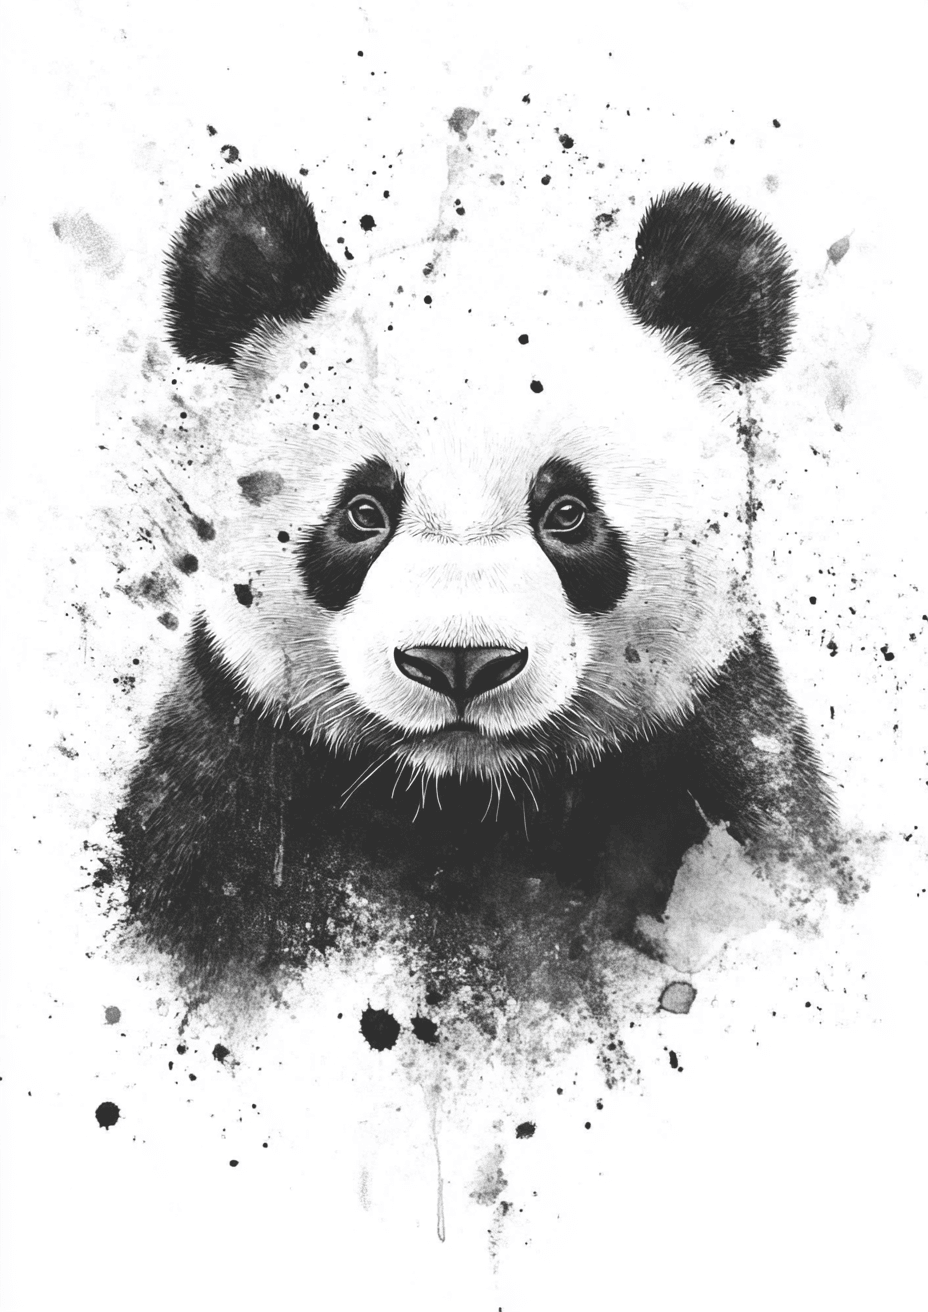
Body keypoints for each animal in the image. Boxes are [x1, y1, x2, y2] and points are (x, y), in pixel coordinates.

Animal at [117, 166, 837, 994]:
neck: (463, 800)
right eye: (364, 511)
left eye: (567, 513)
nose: (459, 662)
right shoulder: (224, 789)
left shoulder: (714, 759)